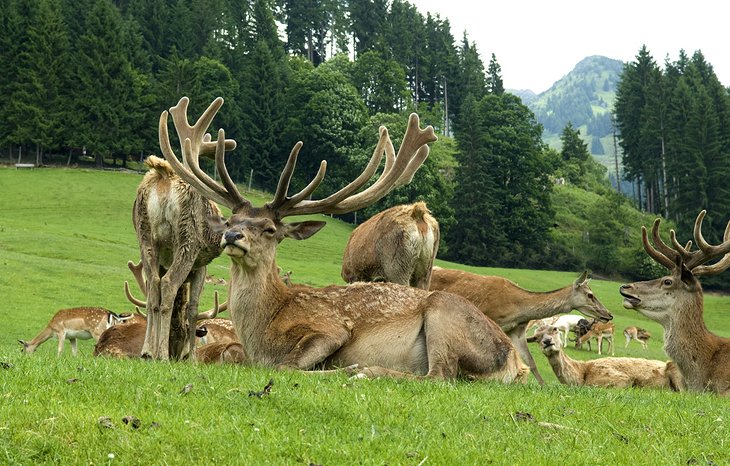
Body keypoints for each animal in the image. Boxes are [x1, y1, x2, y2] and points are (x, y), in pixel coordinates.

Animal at [131, 97, 233, 360]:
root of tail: (164, 176)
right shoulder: (200, 266)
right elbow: (193, 308)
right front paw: (192, 358)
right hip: (188, 240)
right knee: (167, 285)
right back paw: (162, 354)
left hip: (145, 236)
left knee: (153, 287)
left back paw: (147, 351)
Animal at [156, 97, 528, 382]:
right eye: (231, 220)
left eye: (270, 228)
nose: (233, 235)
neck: (262, 333)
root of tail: (513, 362)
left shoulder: (331, 327)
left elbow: (287, 366)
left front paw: (338, 369)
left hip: (444, 315)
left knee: (439, 375)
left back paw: (367, 370)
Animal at [426, 268, 608, 384]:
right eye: (590, 295)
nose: (608, 314)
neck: (516, 309)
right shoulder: (491, 318)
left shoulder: (517, 331)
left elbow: (531, 361)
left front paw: (543, 385)